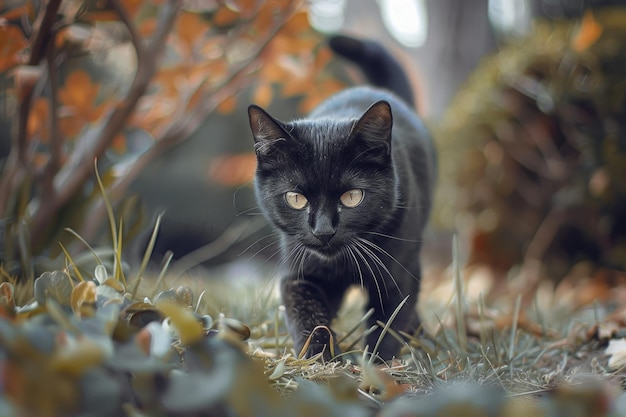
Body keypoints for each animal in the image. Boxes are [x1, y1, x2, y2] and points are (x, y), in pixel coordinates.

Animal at [246, 35, 432, 360]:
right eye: (296, 198)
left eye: (352, 196)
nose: (323, 230)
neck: (341, 265)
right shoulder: (299, 273)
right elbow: (308, 315)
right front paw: (319, 356)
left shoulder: (400, 275)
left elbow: (389, 323)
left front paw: (376, 364)